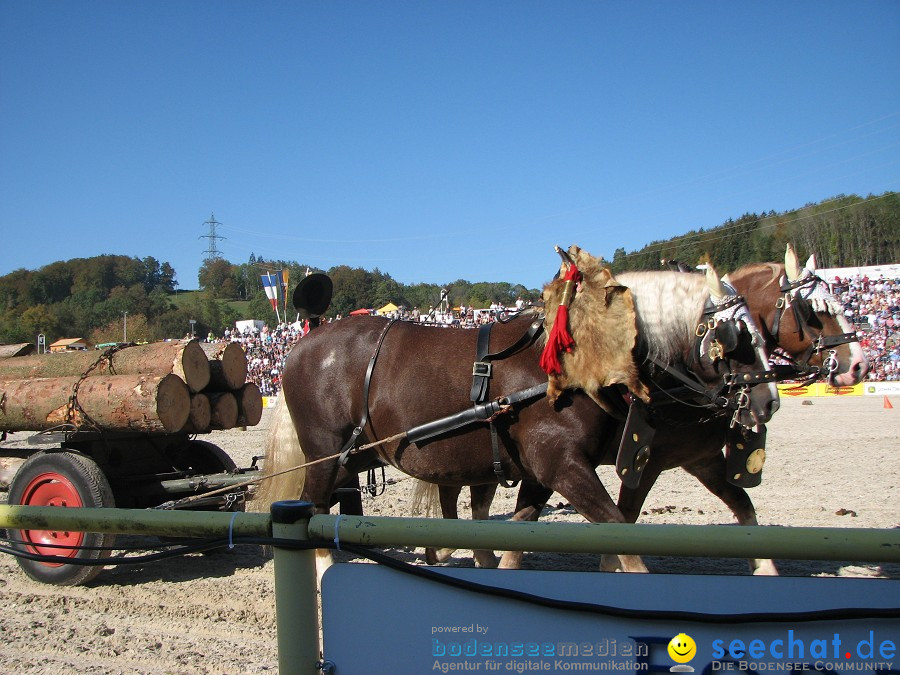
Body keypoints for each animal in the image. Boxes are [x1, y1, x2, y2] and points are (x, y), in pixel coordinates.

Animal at [256, 262, 776, 572]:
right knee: (314, 515)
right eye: (736, 334)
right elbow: (624, 536)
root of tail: (305, 340)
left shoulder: (546, 470)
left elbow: (519, 535)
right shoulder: (563, 464)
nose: (769, 399)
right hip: (326, 457)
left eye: (765, 327)